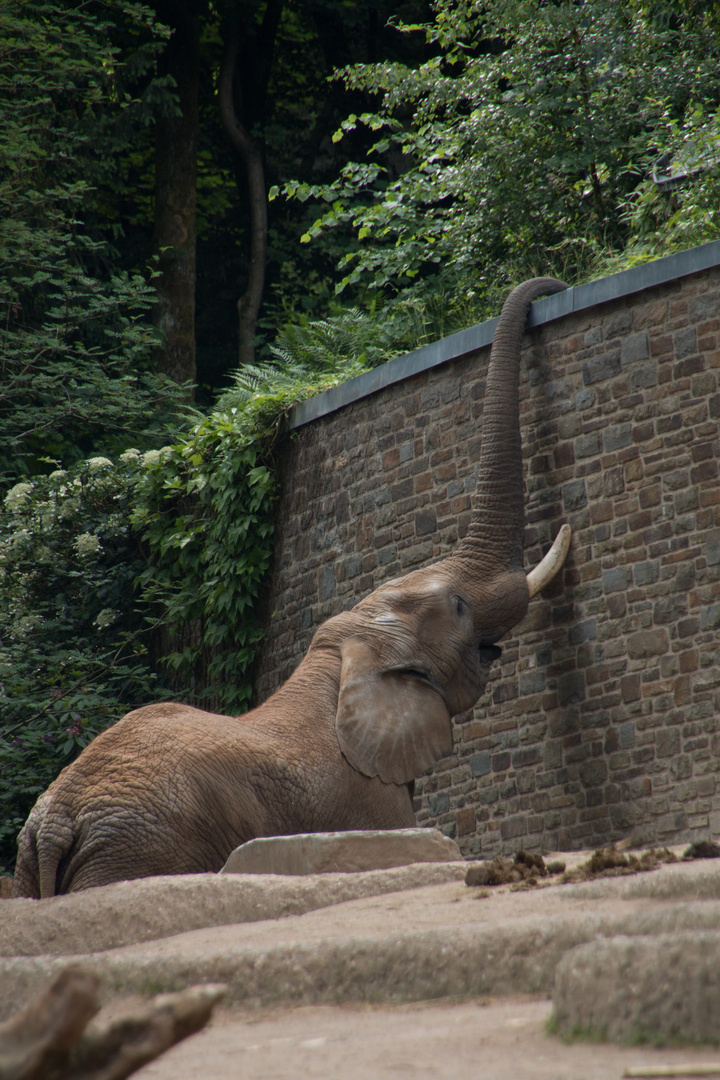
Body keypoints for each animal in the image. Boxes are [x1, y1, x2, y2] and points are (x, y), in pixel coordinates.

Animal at [11, 274, 569, 898]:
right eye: (458, 606)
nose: (556, 282)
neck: (342, 660)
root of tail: (55, 821)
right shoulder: (365, 799)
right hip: (134, 850)